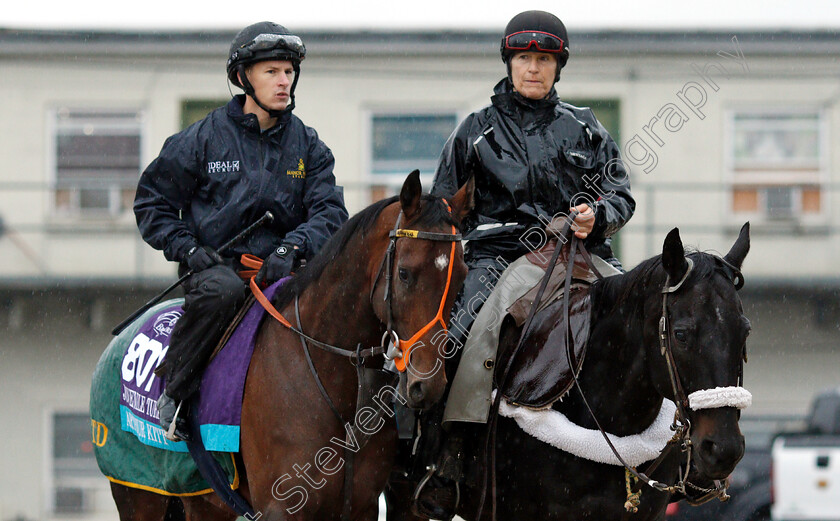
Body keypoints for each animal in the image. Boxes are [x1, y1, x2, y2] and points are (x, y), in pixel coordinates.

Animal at [101, 172, 476, 520]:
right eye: (404, 274)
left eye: (461, 274)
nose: (427, 383)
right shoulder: (282, 506)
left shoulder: (361, 506)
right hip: (138, 494)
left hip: (201, 501)